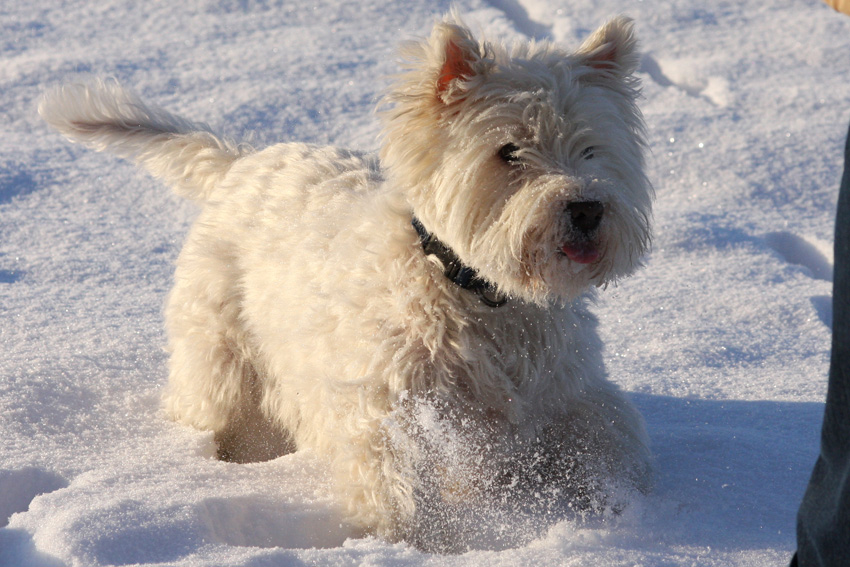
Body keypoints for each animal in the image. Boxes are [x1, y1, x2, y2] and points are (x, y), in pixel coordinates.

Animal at [39, 13, 652, 552]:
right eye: (509, 151)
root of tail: (243, 161)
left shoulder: (566, 394)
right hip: (220, 345)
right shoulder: (386, 410)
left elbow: (605, 444)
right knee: (215, 405)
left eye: (592, 147)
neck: (478, 295)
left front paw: (618, 515)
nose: (586, 208)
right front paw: (419, 543)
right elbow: (399, 487)